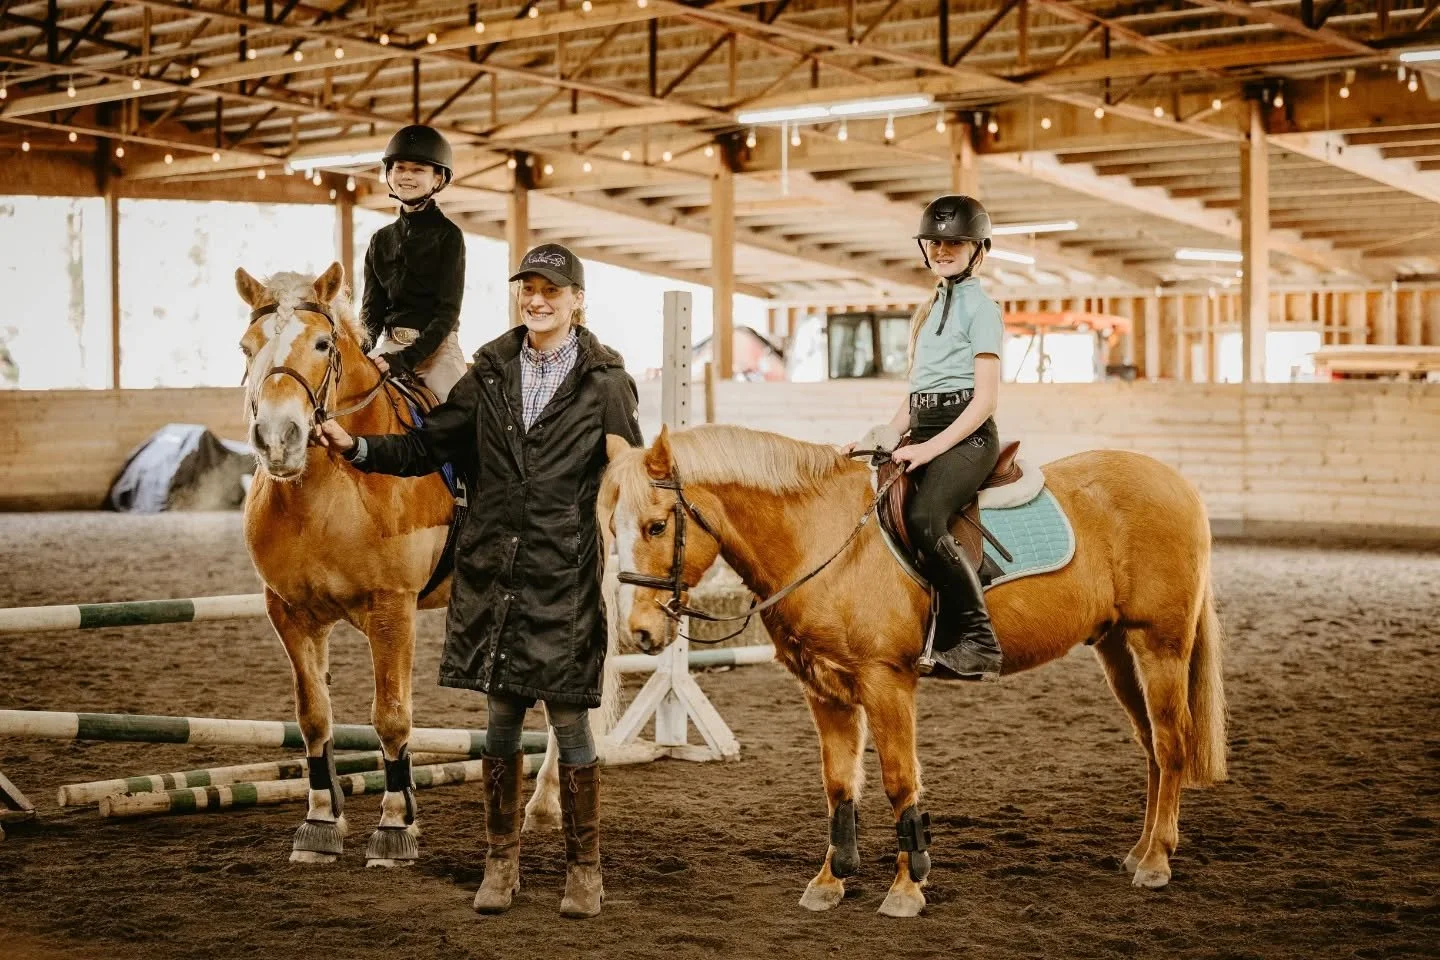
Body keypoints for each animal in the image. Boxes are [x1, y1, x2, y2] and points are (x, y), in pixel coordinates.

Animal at [601, 424, 1227, 917]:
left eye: (657, 526)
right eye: (612, 528)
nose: (640, 632)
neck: (822, 538)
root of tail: (1179, 484)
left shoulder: (887, 683)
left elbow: (901, 783)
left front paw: (906, 888)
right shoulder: (824, 690)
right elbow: (838, 784)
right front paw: (829, 882)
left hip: (1160, 646)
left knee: (1171, 743)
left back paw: (1156, 861)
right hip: (1118, 649)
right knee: (1151, 747)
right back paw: (1140, 850)